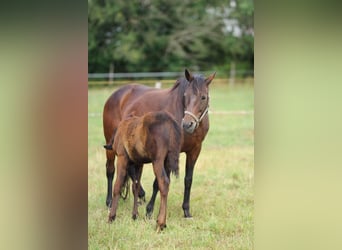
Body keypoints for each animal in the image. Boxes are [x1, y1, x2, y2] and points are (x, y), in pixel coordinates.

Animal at [103, 69, 215, 218]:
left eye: (203, 97)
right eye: (185, 95)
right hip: (111, 145)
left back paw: (140, 195)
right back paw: (110, 202)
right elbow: (159, 181)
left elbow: (188, 180)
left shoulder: (195, 150)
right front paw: (150, 210)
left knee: (131, 171)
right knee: (110, 170)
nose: (187, 124)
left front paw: (186, 211)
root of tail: (115, 95)